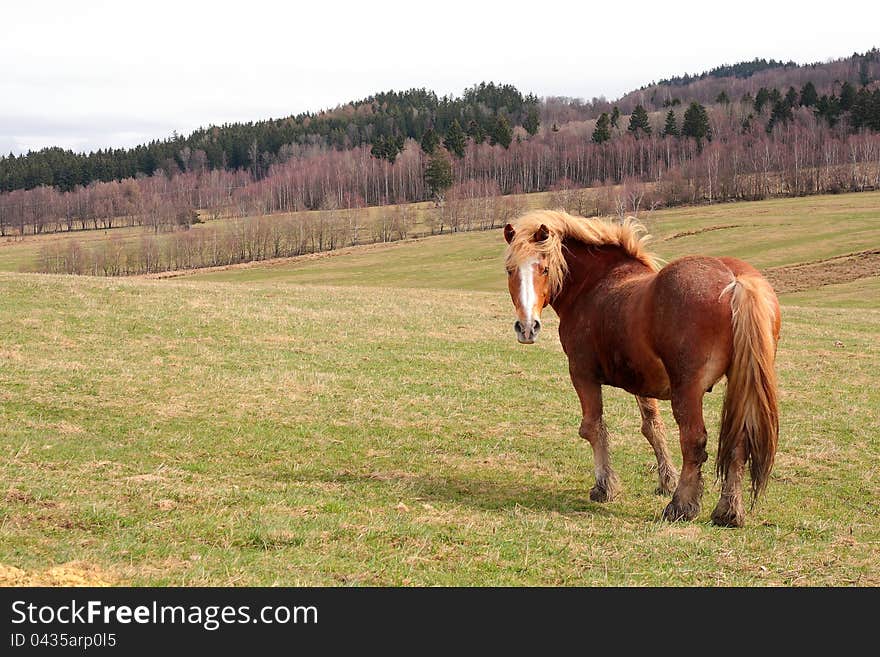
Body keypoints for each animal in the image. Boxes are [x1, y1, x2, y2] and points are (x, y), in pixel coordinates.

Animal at [502, 210, 776, 528]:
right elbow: (652, 428)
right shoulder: (643, 382)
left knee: (694, 442)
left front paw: (605, 486)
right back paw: (728, 511)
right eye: (510, 270)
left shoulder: (582, 374)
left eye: (544, 269)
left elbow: (593, 428)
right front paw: (665, 480)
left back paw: (681, 506)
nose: (527, 327)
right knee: (738, 445)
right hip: (740, 386)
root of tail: (735, 280)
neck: (595, 284)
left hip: (688, 390)